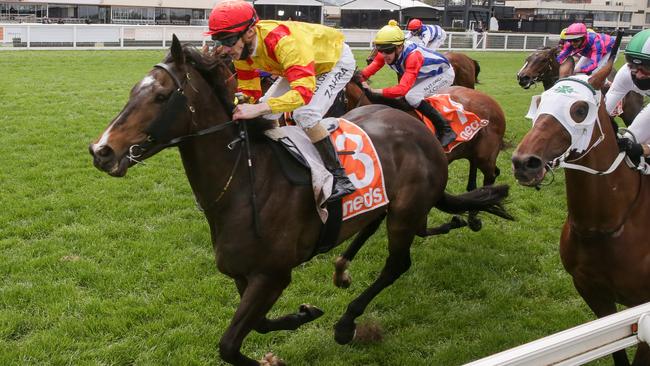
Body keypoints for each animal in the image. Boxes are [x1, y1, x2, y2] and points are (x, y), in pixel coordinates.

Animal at [88, 35, 512, 366]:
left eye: (161, 96)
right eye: (133, 91)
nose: (102, 151)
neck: (246, 182)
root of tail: (422, 133)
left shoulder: (273, 274)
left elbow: (228, 346)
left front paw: (274, 355)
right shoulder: (245, 274)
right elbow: (258, 325)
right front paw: (303, 314)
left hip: (407, 211)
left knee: (398, 263)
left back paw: (347, 323)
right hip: (388, 203)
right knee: (374, 227)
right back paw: (342, 270)